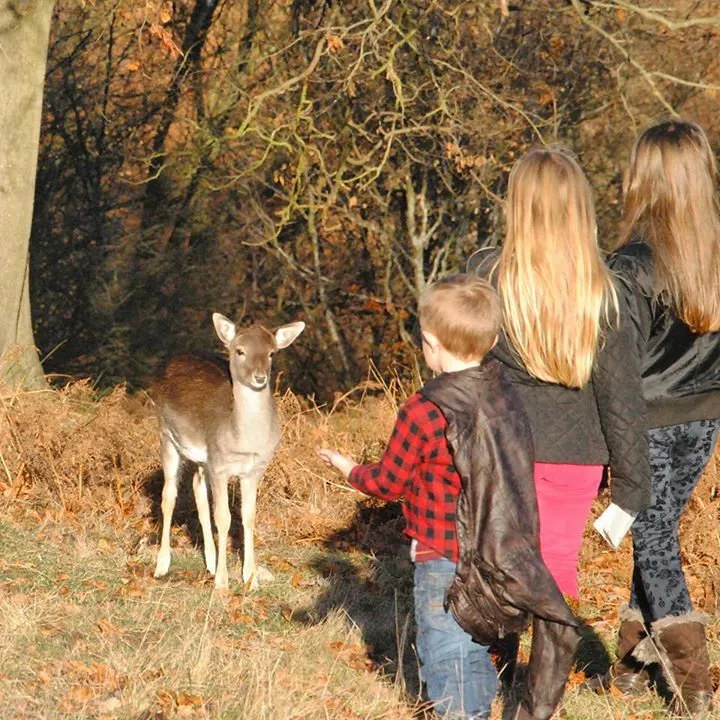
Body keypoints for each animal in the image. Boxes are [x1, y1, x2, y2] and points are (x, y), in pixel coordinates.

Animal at [150, 313, 305, 590]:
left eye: (271, 353)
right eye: (239, 350)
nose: (259, 377)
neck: (244, 441)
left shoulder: (254, 468)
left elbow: (248, 517)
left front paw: (251, 580)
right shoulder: (220, 465)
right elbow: (223, 517)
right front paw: (222, 583)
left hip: (203, 458)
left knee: (198, 489)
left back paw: (210, 562)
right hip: (166, 435)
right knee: (168, 496)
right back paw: (162, 565)